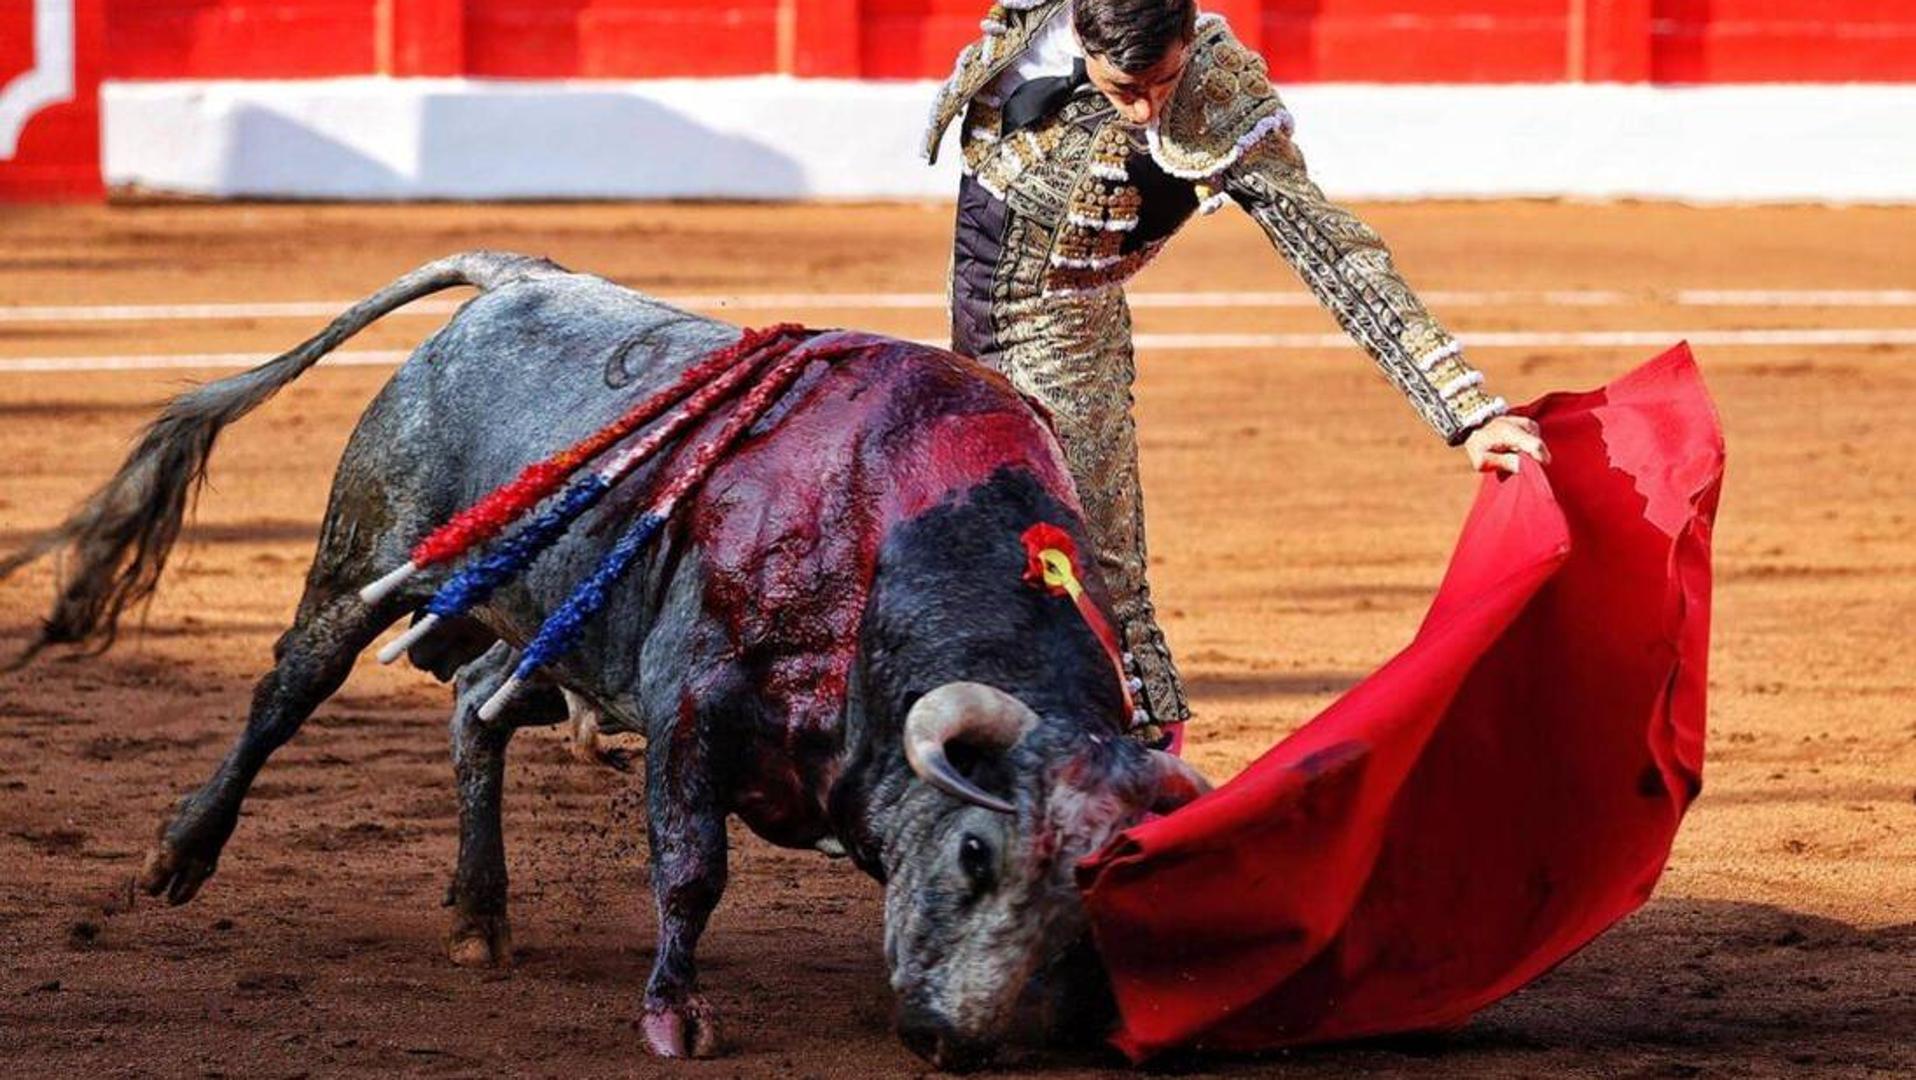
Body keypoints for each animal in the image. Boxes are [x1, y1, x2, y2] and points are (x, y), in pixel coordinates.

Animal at [0, 252, 1203, 1072]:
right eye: (973, 854)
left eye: (1085, 893)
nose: (954, 1038)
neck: (890, 546)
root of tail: (518, 278)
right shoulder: (691, 704)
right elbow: (692, 867)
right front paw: (674, 1015)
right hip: (366, 559)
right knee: (289, 687)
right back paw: (180, 855)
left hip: (540, 631)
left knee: (474, 711)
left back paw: (479, 916)